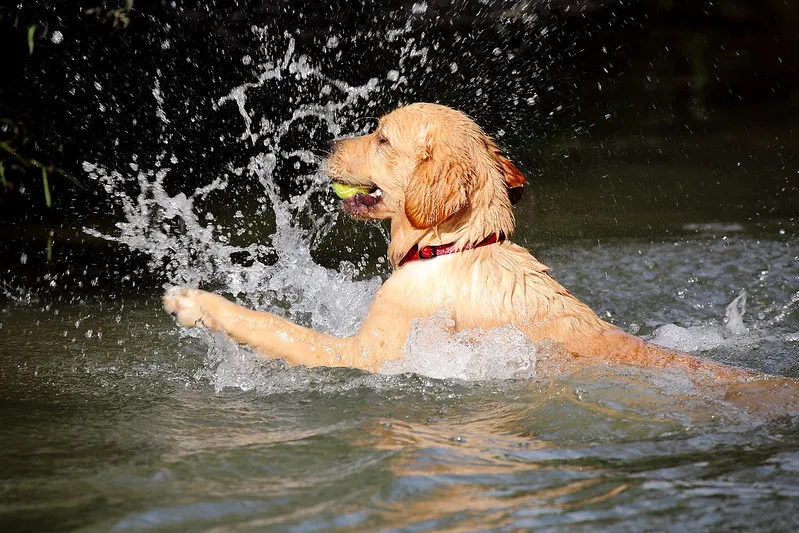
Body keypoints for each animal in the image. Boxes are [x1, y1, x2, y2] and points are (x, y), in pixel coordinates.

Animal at [164, 102, 756, 380]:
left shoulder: (364, 353)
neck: (454, 248)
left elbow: (274, 327)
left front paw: (194, 302)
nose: (323, 146)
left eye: (382, 138)